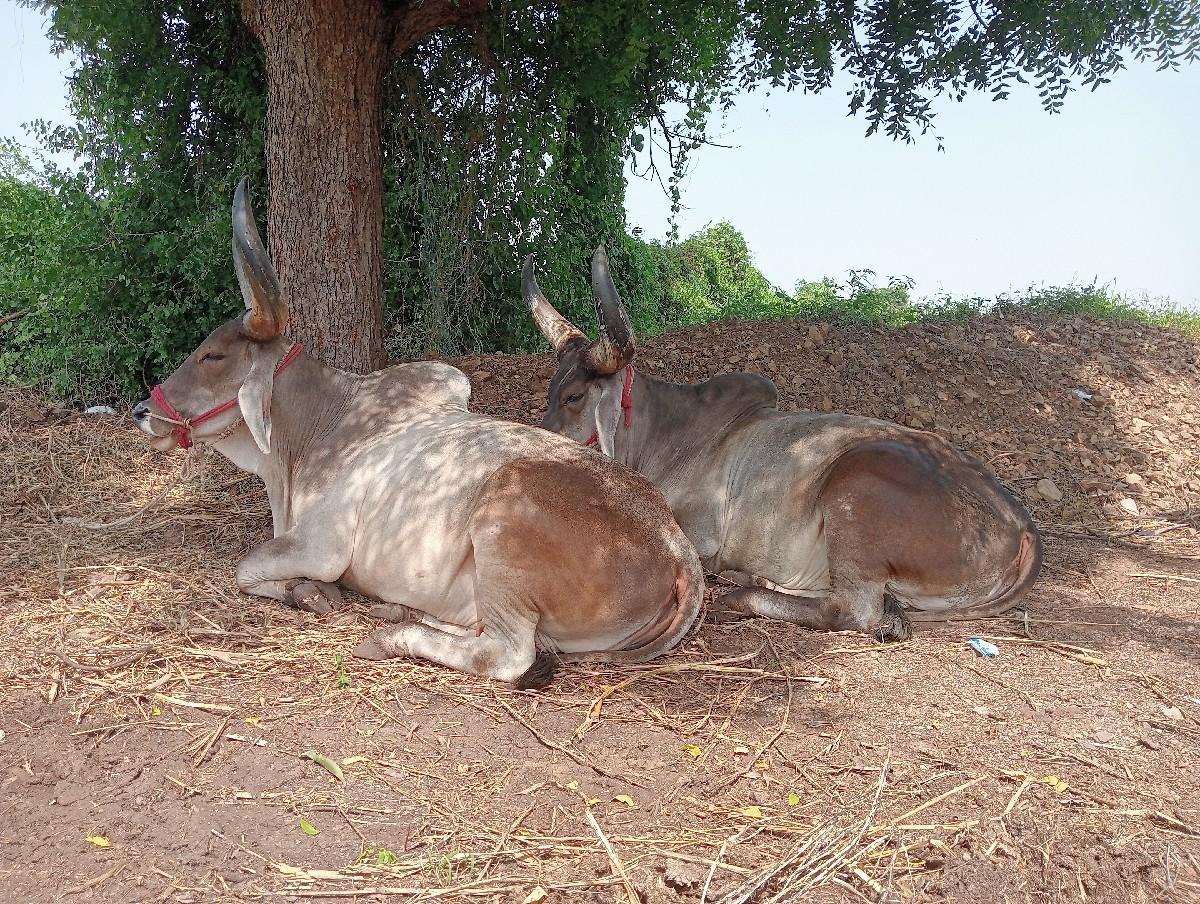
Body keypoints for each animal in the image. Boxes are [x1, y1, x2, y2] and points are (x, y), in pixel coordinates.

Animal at [132, 181, 703, 688]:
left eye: (212, 355)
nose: (142, 410)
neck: (317, 428)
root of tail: (677, 548)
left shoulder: (321, 546)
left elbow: (246, 568)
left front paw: (309, 593)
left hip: (503, 524)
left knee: (508, 653)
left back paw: (392, 635)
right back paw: (401, 611)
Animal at [524, 247, 1042, 641]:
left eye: (574, 396)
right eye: (551, 392)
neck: (663, 436)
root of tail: (1021, 525)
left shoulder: (699, 534)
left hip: (857, 485)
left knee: (855, 610)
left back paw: (741, 594)